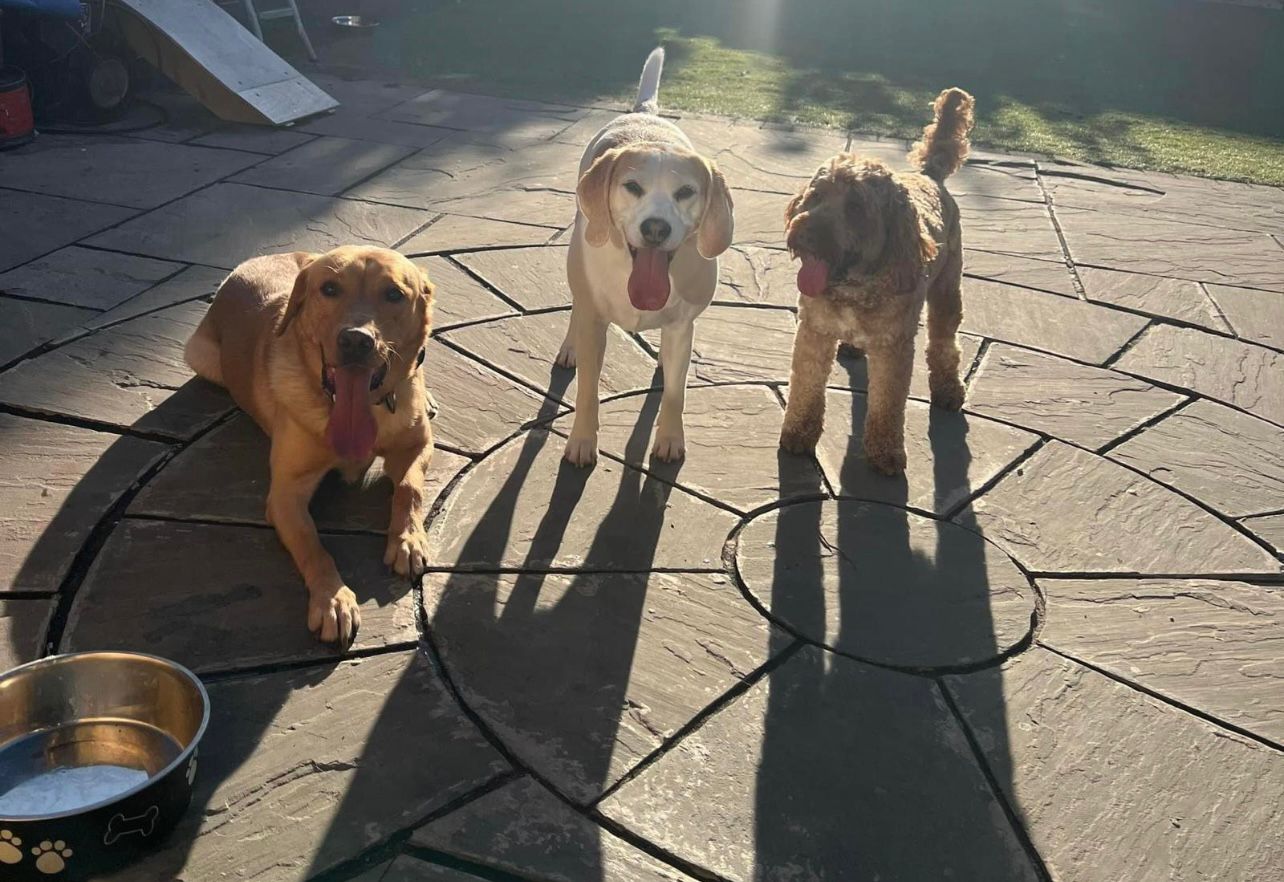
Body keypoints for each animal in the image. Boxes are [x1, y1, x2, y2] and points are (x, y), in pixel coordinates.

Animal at [185, 247, 435, 647]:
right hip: (202, 357)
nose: (355, 340)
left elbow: (409, 489)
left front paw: (408, 539)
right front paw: (332, 599)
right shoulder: (286, 493)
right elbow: (313, 545)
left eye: (394, 294)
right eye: (329, 288)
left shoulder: (418, 444)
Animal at [558, 47, 735, 465]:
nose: (656, 228)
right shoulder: (595, 323)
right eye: (632, 187)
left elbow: (675, 393)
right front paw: (582, 441)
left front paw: (670, 438)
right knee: (576, 307)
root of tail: (645, 114)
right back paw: (569, 347)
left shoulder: (683, 328)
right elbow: (587, 391)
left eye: (685, 192)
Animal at [779, 88, 976, 475]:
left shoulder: (894, 345)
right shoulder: (814, 331)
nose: (804, 232)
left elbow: (887, 403)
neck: (854, 289)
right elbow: (806, 386)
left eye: (856, 207)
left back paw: (948, 389)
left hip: (948, 290)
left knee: (944, 343)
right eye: (816, 195)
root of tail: (930, 174)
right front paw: (797, 434)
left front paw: (886, 453)